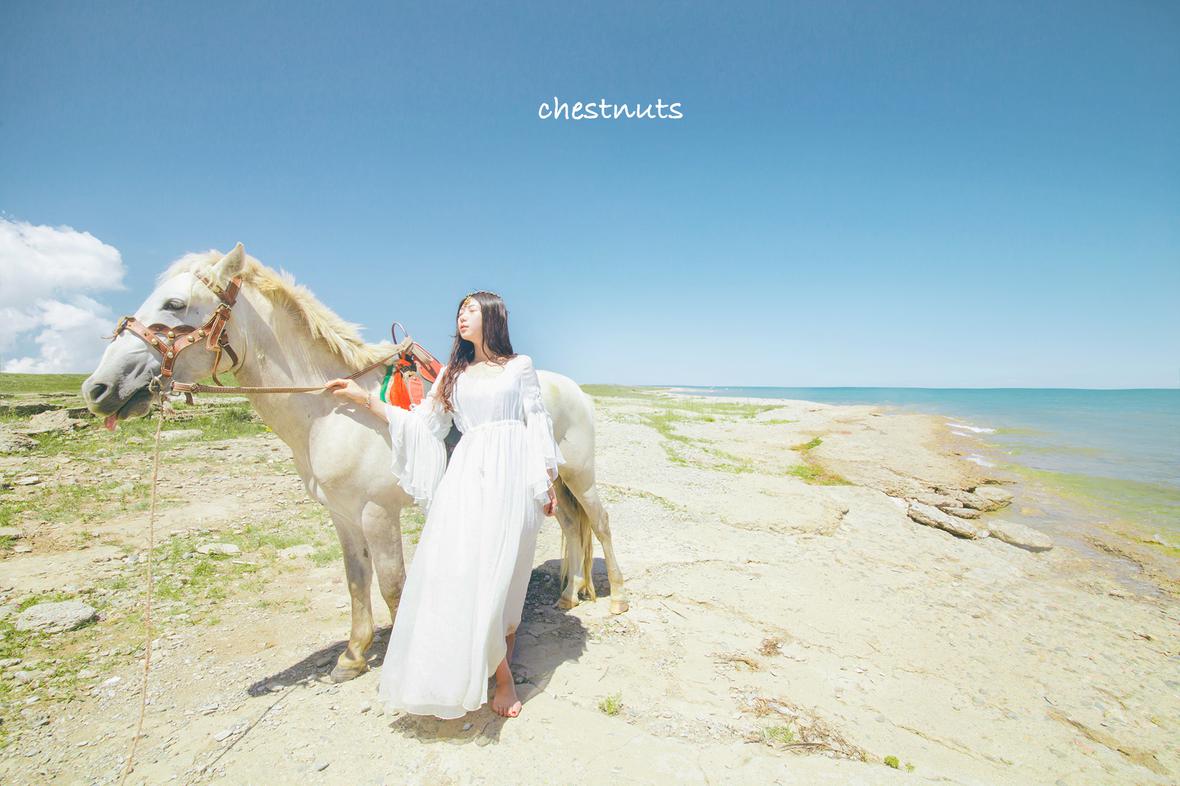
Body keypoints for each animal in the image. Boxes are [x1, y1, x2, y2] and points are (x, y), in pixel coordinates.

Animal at [80, 242, 628, 682]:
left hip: (581, 474)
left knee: (598, 522)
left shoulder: (377, 513)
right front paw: (353, 654)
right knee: (572, 525)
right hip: (556, 481)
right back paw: (569, 593)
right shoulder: (343, 515)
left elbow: (392, 585)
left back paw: (618, 597)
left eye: (174, 304)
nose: (98, 388)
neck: (329, 411)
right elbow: (356, 581)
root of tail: (571, 387)